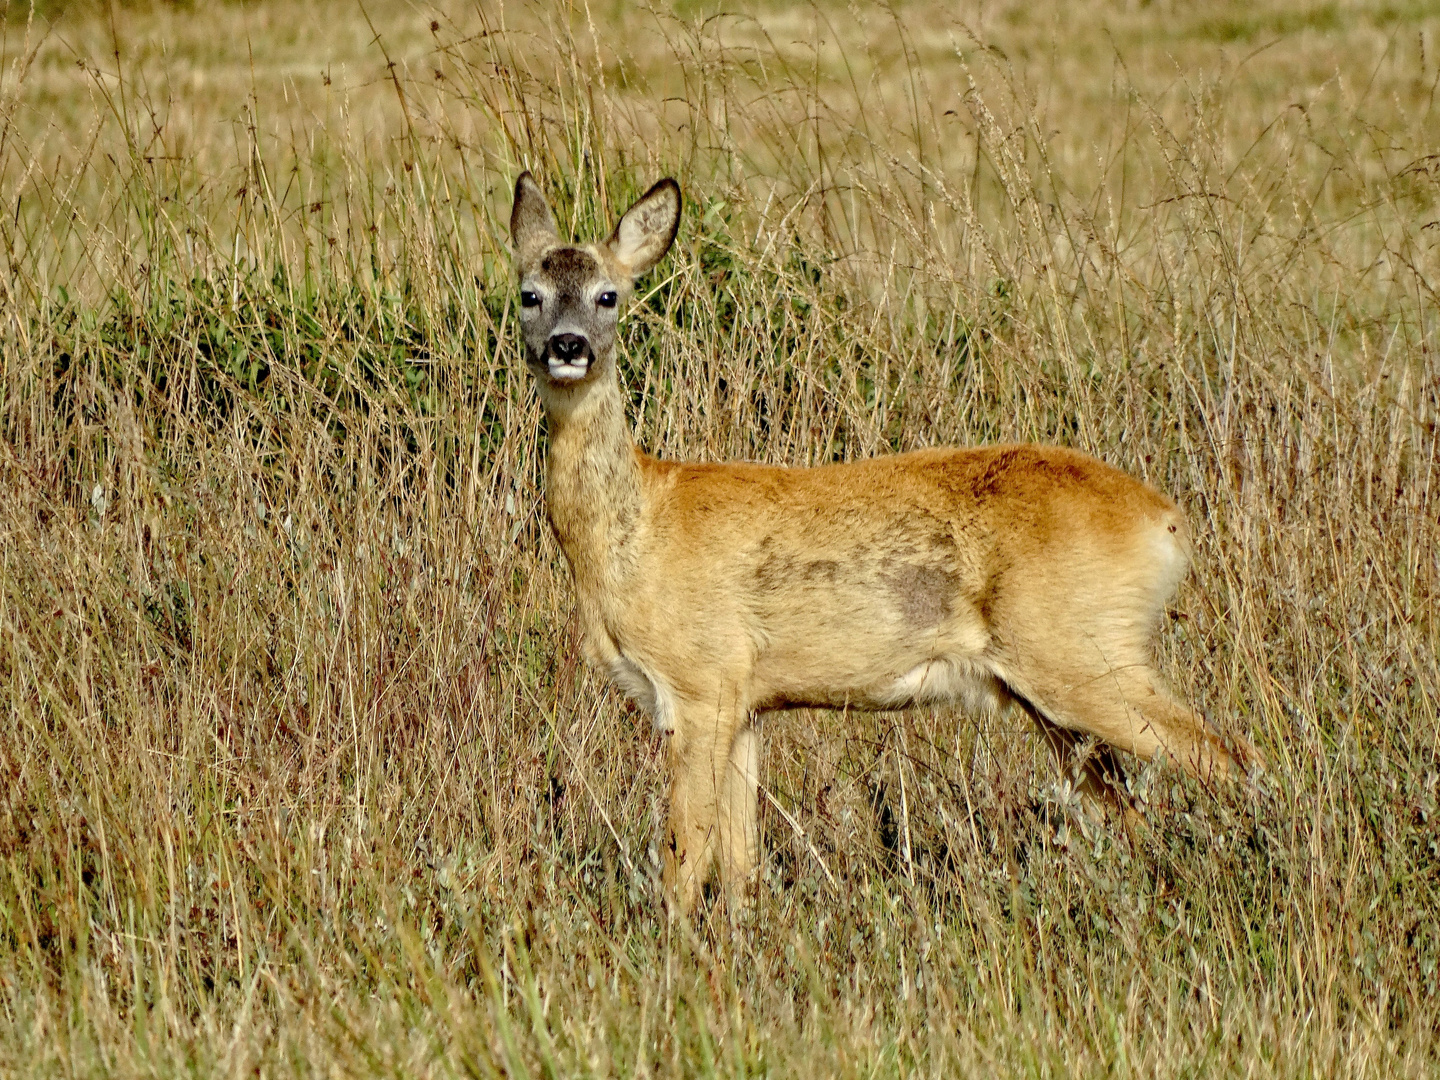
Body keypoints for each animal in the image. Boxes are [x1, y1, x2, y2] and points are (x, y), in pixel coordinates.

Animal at [512, 169, 1244, 915]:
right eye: (528, 293)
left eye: (609, 294)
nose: (568, 346)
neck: (635, 530)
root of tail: (1167, 521)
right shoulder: (746, 703)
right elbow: (742, 866)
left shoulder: (700, 682)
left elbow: (683, 859)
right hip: (1054, 689)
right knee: (1130, 806)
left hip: (1086, 654)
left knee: (1226, 759)